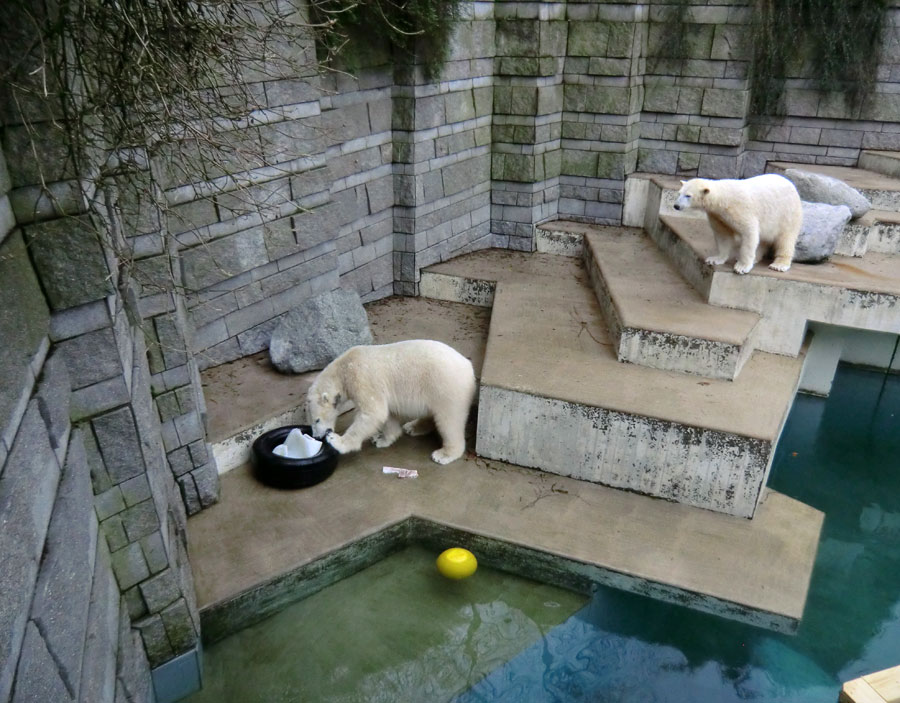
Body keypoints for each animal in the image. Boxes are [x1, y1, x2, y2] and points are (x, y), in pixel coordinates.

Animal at [308, 340, 478, 468]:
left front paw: (337, 441)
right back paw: (413, 427)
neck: (344, 367)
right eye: (312, 422)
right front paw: (381, 438)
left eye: (317, 420)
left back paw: (443, 454)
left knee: (449, 421)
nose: (317, 436)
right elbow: (386, 415)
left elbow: (373, 412)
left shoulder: (362, 379)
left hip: (446, 388)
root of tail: (469, 367)